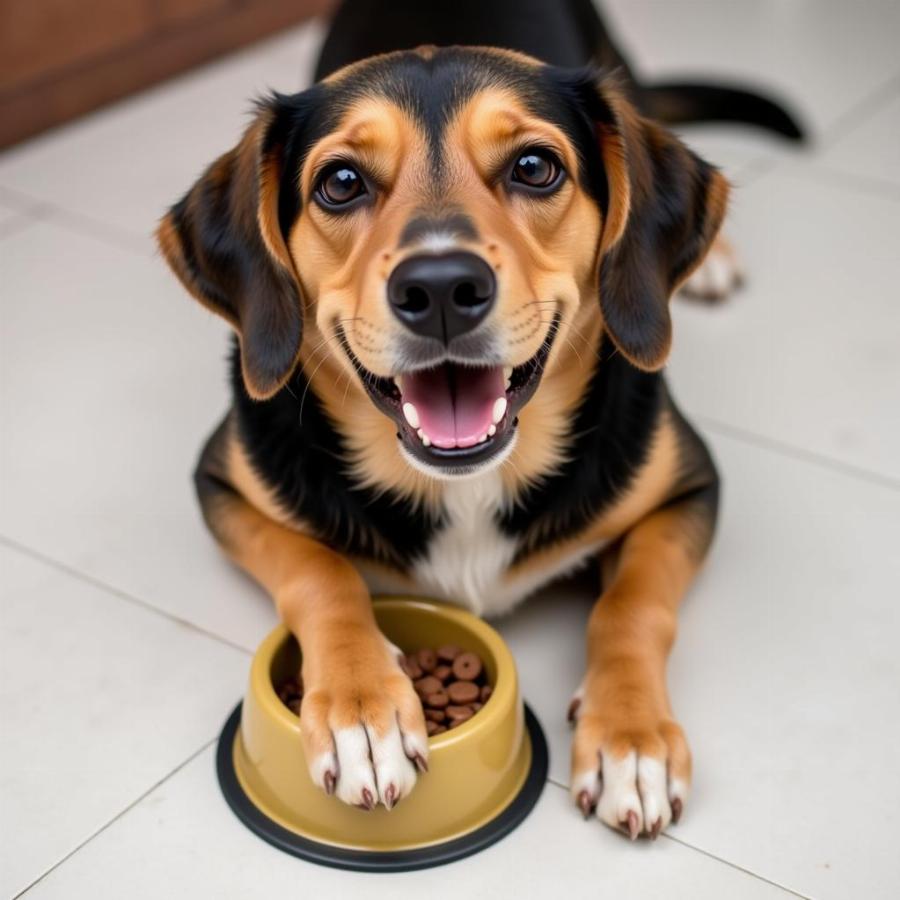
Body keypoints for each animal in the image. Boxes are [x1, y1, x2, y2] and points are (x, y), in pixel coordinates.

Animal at [155, 0, 800, 836]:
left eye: (534, 167)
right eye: (340, 182)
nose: (438, 288)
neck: (465, 482)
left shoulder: (689, 488)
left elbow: (633, 605)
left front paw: (630, 739)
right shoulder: (223, 484)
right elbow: (319, 571)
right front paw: (364, 707)